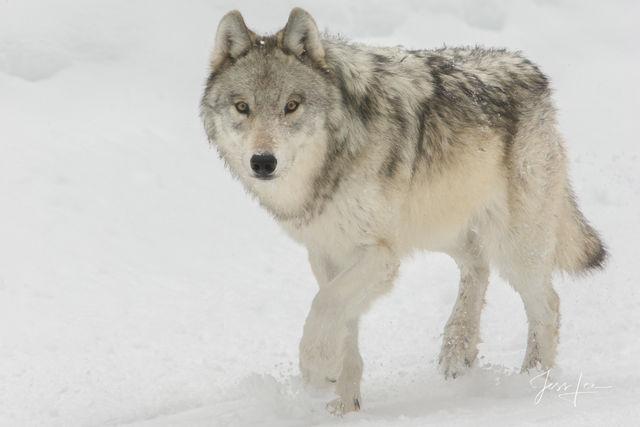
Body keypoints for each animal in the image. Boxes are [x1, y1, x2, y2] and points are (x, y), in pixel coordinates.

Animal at [199, 6, 604, 414]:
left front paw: (317, 366)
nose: (263, 162)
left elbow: (326, 304)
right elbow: (342, 321)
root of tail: (531, 70)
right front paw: (345, 405)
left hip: (513, 245)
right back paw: (458, 350)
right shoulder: (327, 252)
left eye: (291, 106)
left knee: (547, 304)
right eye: (242, 107)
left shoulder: (379, 253)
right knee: (476, 263)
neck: (329, 168)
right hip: (437, 227)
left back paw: (535, 383)